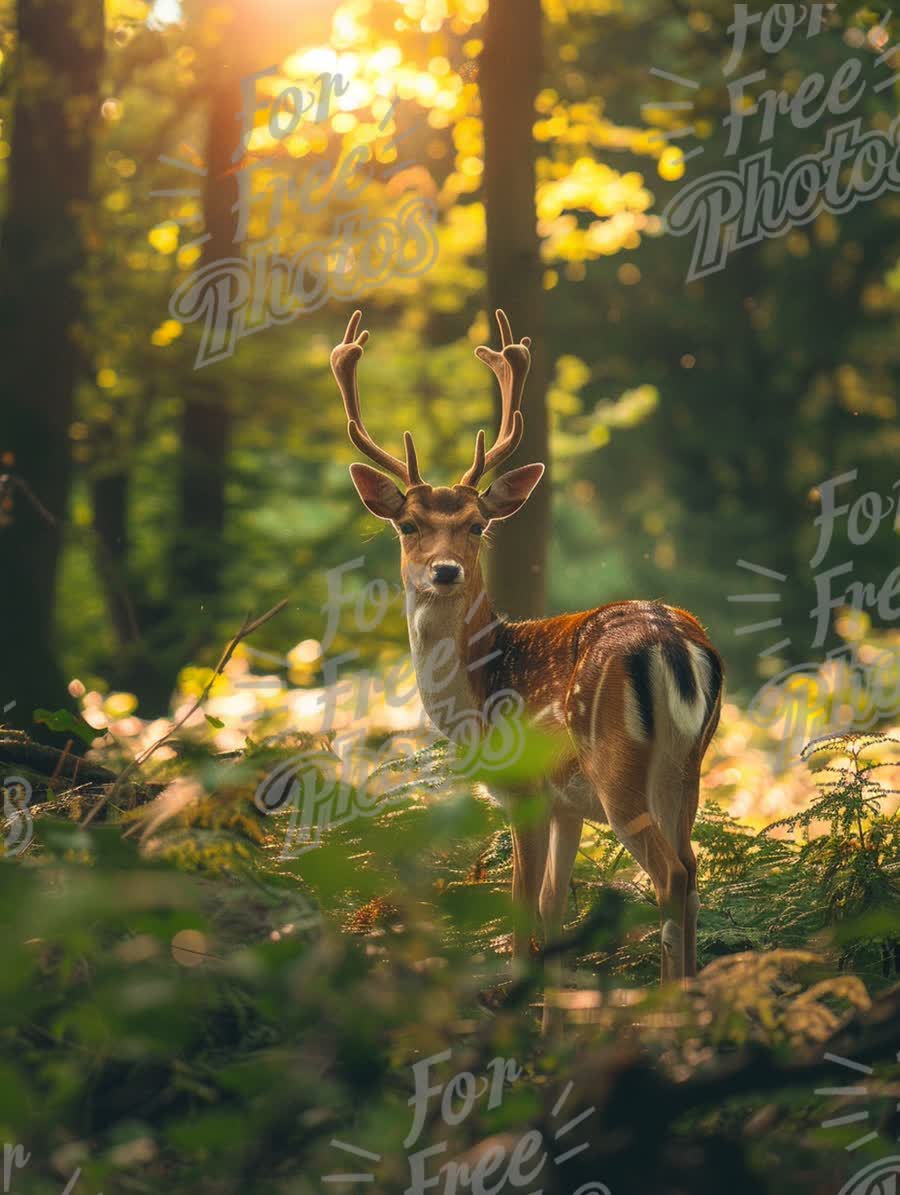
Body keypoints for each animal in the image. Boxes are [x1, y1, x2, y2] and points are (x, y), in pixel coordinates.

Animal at [329, 308, 721, 1027]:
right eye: (408, 523)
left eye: (477, 524)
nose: (444, 571)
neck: (478, 691)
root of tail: (675, 643)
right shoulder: (567, 804)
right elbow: (554, 907)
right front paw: (552, 1026)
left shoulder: (526, 788)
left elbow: (522, 910)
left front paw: (517, 1023)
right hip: (688, 767)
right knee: (695, 869)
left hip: (618, 765)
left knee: (671, 875)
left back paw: (668, 1013)